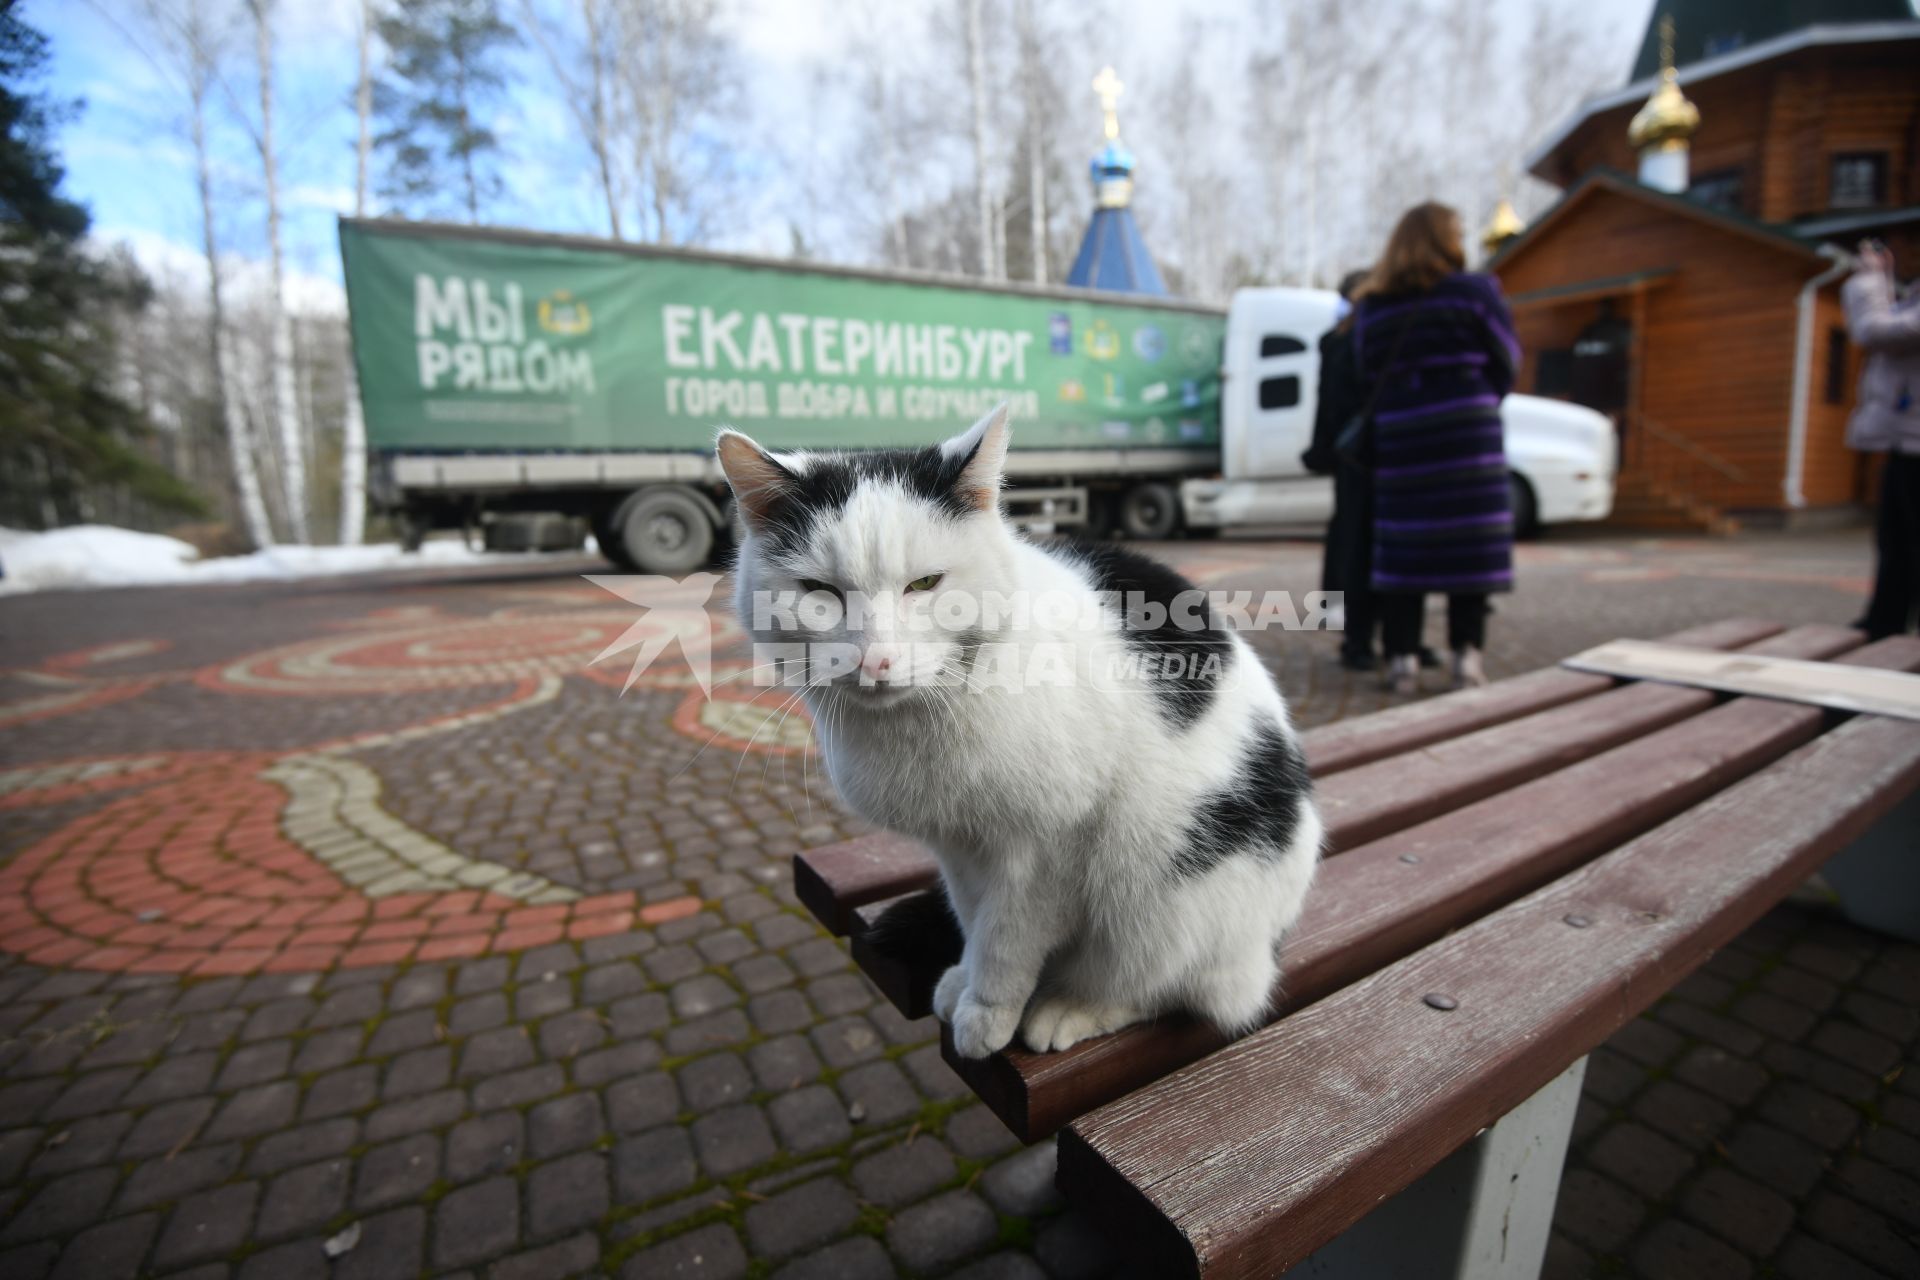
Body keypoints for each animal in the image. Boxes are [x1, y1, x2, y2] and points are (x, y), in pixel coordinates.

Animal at [721, 404, 1320, 1059]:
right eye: (820, 592)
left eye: (925, 584)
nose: (876, 659)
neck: (928, 716)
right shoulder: (956, 846)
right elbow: (972, 916)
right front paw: (964, 976)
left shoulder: (1044, 850)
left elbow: (1006, 940)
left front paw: (988, 1011)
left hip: (1162, 881)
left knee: (1176, 985)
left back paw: (1075, 1006)